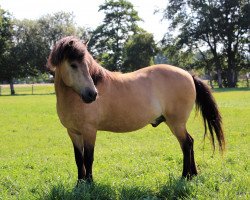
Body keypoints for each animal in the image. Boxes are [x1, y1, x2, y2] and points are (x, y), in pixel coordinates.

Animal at [47, 35, 225, 183]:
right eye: (73, 65)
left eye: (87, 64)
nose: (92, 94)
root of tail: (189, 75)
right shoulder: (73, 132)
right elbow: (79, 159)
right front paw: (80, 184)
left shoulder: (89, 131)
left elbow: (88, 158)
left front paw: (90, 183)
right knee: (190, 142)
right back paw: (192, 174)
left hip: (176, 123)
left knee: (186, 144)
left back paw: (184, 176)